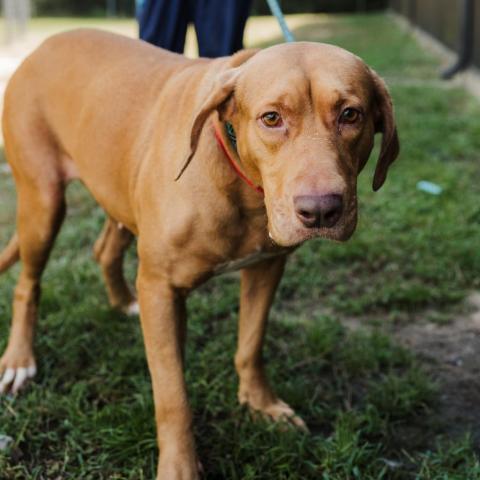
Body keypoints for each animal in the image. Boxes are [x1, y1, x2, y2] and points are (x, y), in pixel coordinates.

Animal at [0, 31, 398, 480]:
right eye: (271, 118)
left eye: (351, 114)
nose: (320, 211)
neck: (242, 183)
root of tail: (46, 44)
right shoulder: (161, 289)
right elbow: (173, 395)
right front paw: (179, 465)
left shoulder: (266, 268)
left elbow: (251, 344)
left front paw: (260, 404)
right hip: (43, 203)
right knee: (27, 285)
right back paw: (19, 359)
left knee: (104, 250)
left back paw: (121, 302)